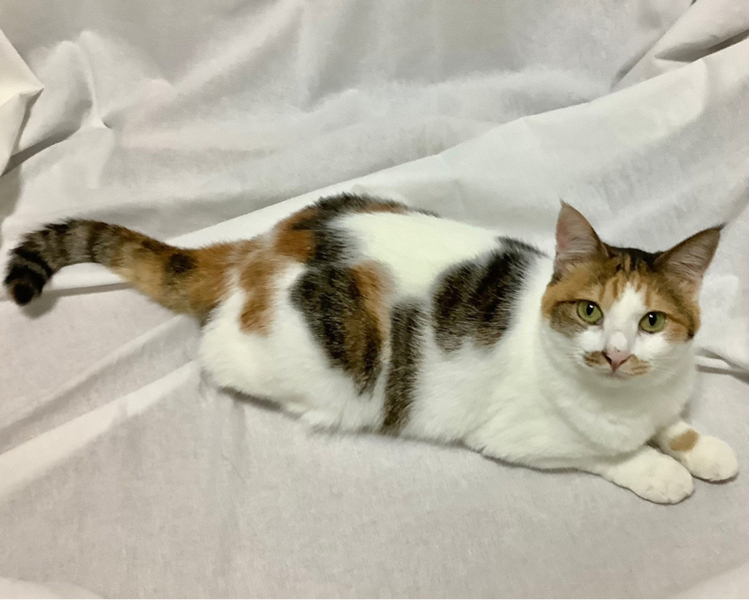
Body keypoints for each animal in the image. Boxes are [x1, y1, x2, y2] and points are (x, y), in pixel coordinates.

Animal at [4, 194, 738, 503]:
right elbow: (605, 452)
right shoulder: (518, 434)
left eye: (651, 322)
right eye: (589, 312)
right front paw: (660, 472)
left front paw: (705, 449)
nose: (614, 352)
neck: (624, 396)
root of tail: (260, 248)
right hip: (310, 365)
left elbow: (671, 422)